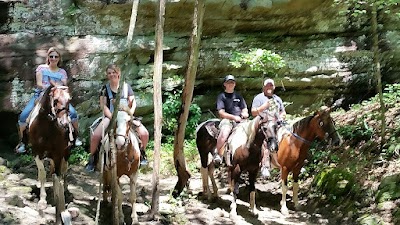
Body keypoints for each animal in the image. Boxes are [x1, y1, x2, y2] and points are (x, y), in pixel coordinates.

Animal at [27, 85, 76, 224]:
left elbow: (58, 175)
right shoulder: (37, 152)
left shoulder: (58, 153)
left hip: (66, 154)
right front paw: (42, 201)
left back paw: (65, 190)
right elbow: (43, 174)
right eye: (55, 100)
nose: (64, 124)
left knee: (64, 171)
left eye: (69, 99)